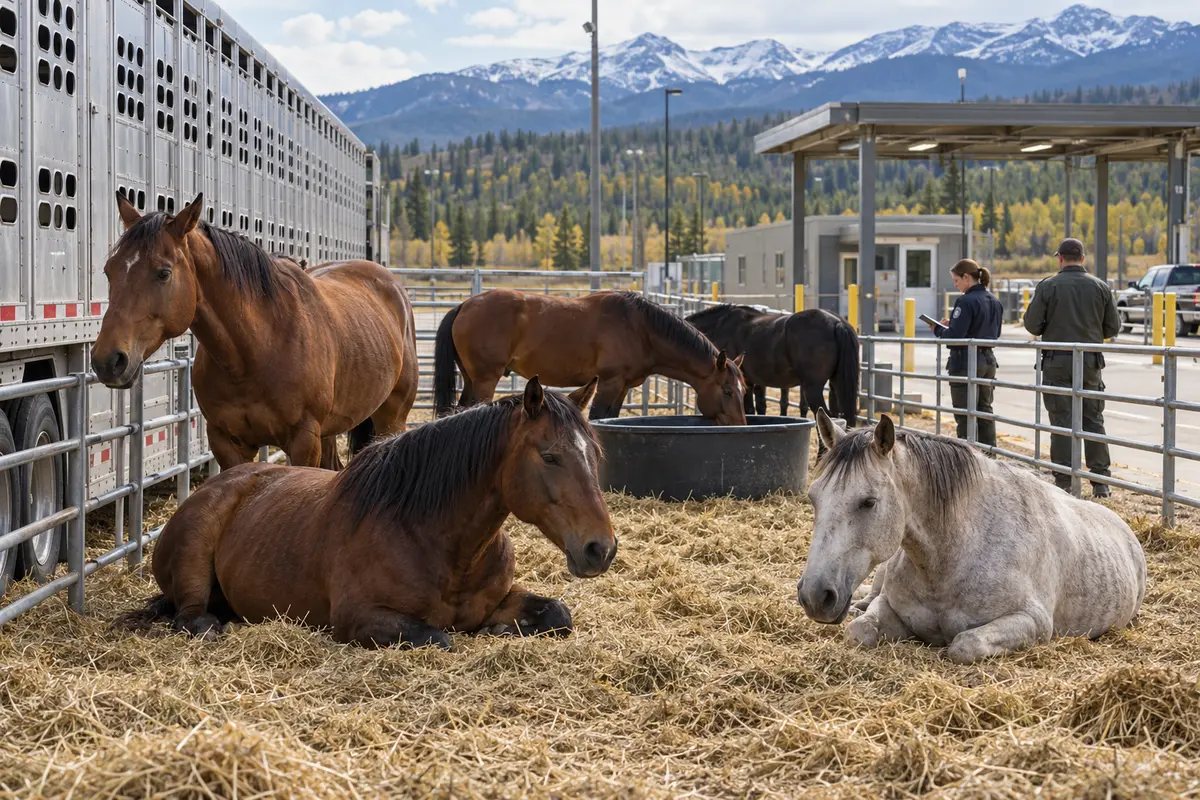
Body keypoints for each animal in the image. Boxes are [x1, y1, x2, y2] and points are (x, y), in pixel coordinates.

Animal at [91, 193, 419, 471]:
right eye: (109, 270)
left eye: (163, 272)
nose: (108, 360)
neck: (256, 349)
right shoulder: (226, 443)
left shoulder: (303, 442)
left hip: (390, 418)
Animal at [124, 378, 617, 648]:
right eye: (550, 457)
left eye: (595, 453)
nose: (602, 549)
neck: (434, 540)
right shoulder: (359, 618)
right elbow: (438, 637)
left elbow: (559, 614)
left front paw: (500, 630)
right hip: (193, 560)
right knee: (191, 616)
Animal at [434, 289, 748, 424]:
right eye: (728, 391)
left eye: (743, 391)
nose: (740, 426)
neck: (640, 327)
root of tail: (464, 305)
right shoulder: (609, 383)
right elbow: (598, 418)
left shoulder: (622, 387)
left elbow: (610, 418)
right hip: (485, 379)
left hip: (471, 379)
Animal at [685, 304, 859, 428]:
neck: (720, 326)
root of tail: (837, 323)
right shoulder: (755, 383)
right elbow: (760, 408)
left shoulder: (743, 383)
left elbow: (749, 410)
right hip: (836, 384)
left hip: (813, 388)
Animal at [798, 410, 1146, 664]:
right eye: (814, 497)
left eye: (868, 502)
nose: (815, 596)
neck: (950, 558)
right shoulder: (888, 605)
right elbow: (859, 630)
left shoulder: (1032, 622)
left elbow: (964, 644)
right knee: (867, 596)